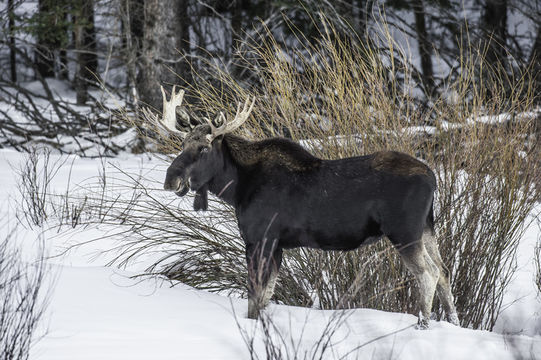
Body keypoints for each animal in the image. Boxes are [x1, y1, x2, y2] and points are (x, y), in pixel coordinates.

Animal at [144, 86, 460, 328]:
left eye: (205, 147)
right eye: (182, 145)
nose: (171, 179)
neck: (236, 187)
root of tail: (432, 177)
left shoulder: (261, 238)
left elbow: (255, 295)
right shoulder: (277, 245)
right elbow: (265, 296)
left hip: (404, 231)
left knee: (428, 273)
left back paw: (422, 324)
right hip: (427, 227)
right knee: (444, 271)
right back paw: (453, 323)